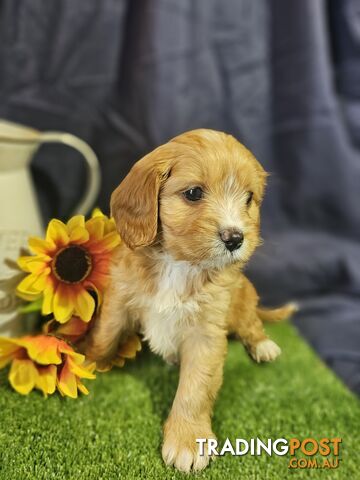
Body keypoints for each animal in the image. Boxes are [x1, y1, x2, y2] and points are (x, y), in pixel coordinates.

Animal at [83, 127, 296, 472]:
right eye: (194, 193)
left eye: (248, 199)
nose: (236, 238)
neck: (178, 265)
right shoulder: (120, 300)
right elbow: (105, 336)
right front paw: (85, 359)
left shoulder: (205, 333)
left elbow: (194, 388)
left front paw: (188, 440)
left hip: (243, 301)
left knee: (251, 326)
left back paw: (263, 346)